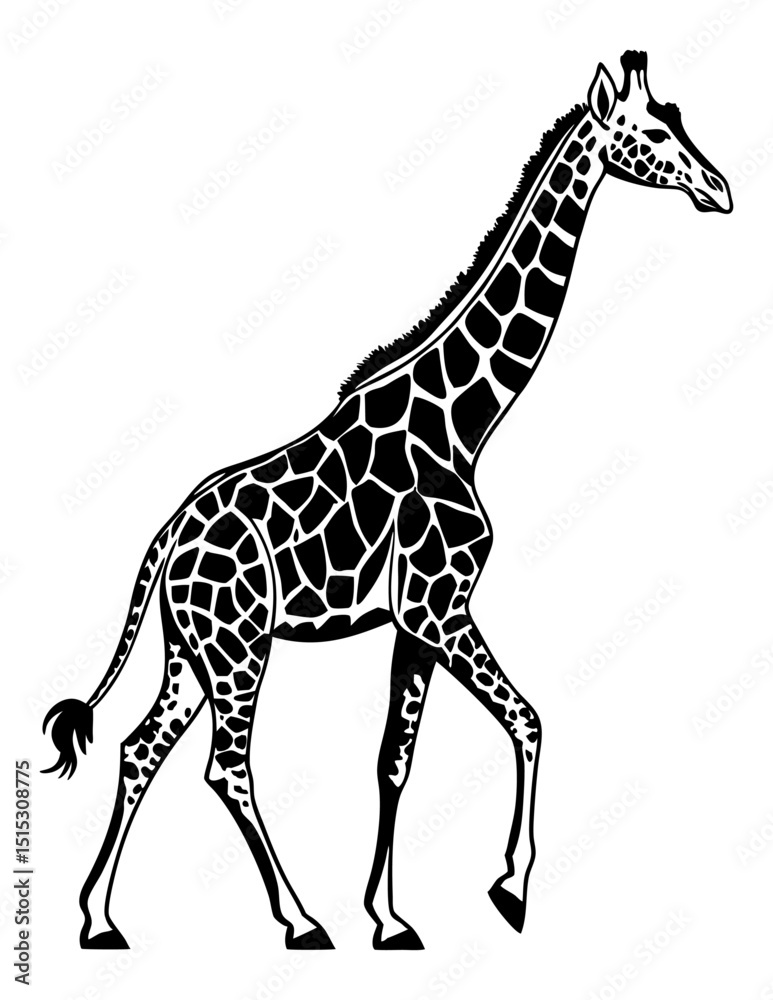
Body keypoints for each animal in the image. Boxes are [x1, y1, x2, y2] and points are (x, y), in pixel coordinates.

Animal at [44, 51, 731, 951]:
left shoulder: (414, 619)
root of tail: (165, 537)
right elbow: (528, 719)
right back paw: (299, 920)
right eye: (651, 131)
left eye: (679, 119)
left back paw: (99, 919)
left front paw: (392, 917)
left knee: (138, 750)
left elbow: (394, 760)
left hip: (190, 649)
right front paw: (507, 889)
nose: (720, 190)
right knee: (225, 766)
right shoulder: (441, 605)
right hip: (237, 644)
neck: (465, 423)